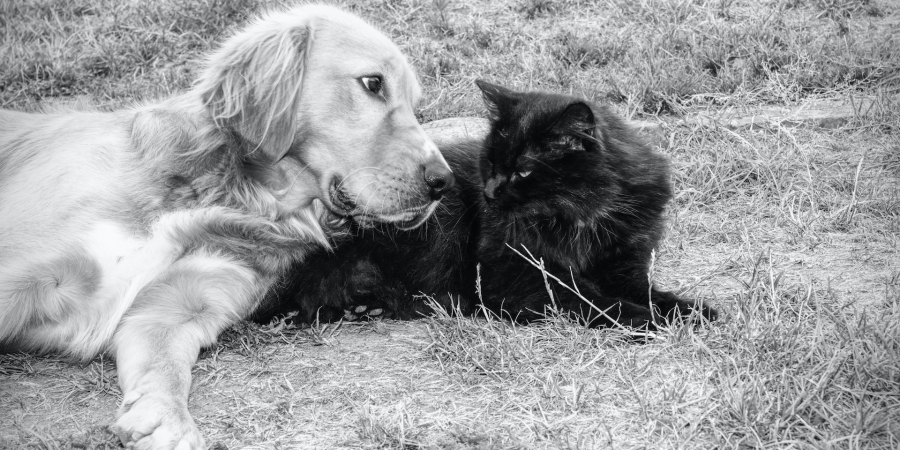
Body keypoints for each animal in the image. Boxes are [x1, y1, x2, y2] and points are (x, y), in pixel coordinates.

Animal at [0, 4, 450, 450]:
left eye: (415, 105)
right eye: (373, 83)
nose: (443, 182)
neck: (235, 196)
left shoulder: (172, 313)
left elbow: (167, 373)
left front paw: (167, 424)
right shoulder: (23, 274)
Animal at [253, 80, 716, 326]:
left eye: (524, 171)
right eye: (490, 162)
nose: (489, 192)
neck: (580, 217)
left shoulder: (625, 265)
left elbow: (651, 292)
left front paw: (690, 311)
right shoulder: (516, 273)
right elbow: (591, 299)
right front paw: (646, 319)